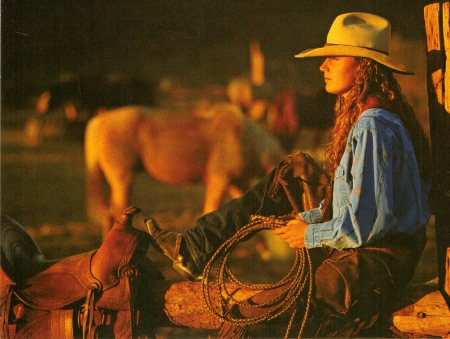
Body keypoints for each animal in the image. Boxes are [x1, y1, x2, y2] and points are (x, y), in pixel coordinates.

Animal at [85, 102, 286, 238]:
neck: (245, 139)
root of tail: (99, 120)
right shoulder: (219, 180)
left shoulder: (237, 182)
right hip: (123, 180)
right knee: (116, 210)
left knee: (108, 212)